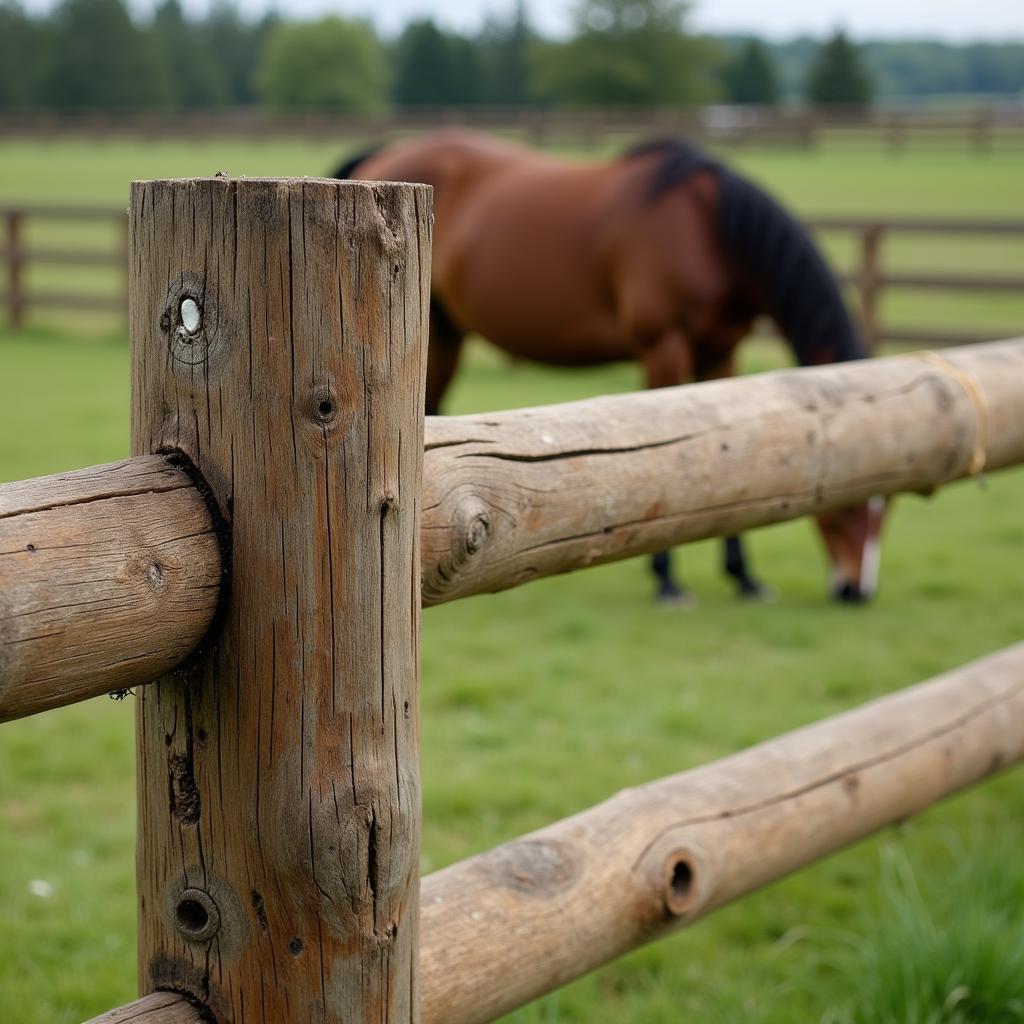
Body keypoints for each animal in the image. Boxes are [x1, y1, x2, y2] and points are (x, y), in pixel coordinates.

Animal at [337, 132, 888, 602]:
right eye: (848, 502)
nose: (855, 591)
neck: (708, 229)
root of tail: (384, 156)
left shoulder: (720, 353)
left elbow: (733, 450)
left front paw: (743, 577)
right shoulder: (663, 347)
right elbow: (671, 455)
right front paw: (667, 580)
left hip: (449, 331)